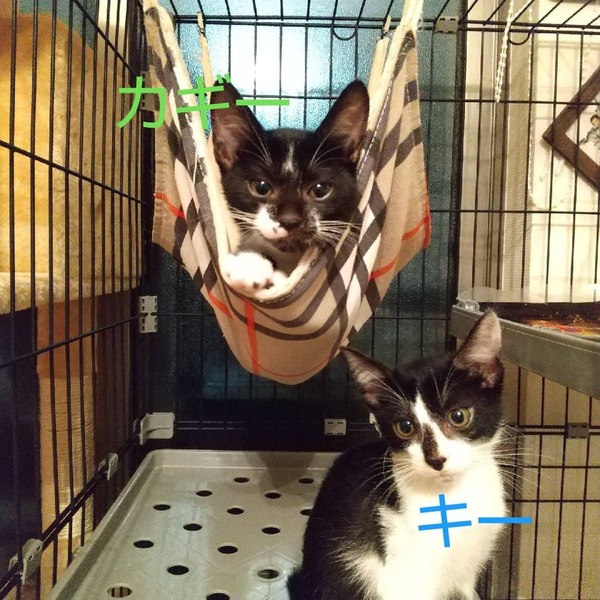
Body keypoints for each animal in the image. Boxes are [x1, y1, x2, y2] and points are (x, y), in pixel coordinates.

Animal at [288, 311, 507, 600]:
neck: (455, 494)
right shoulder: (403, 577)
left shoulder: (467, 572)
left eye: (459, 416)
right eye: (405, 427)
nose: (436, 460)